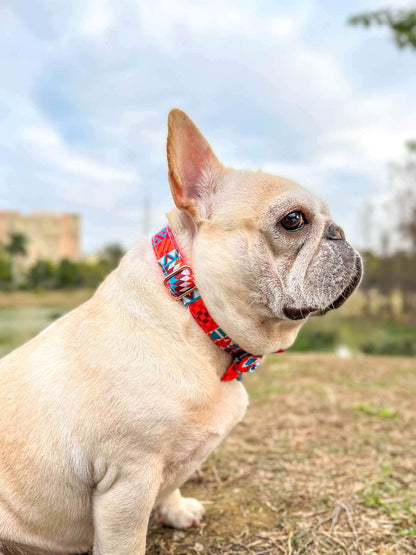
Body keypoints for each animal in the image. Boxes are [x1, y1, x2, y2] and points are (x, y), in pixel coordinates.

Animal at [0, 109, 360, 555]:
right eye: (293, 220)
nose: (339, 231)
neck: (195, 315)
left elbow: (171, 484)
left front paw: (175, 510)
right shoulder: (128, 481)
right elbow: (127, 541)